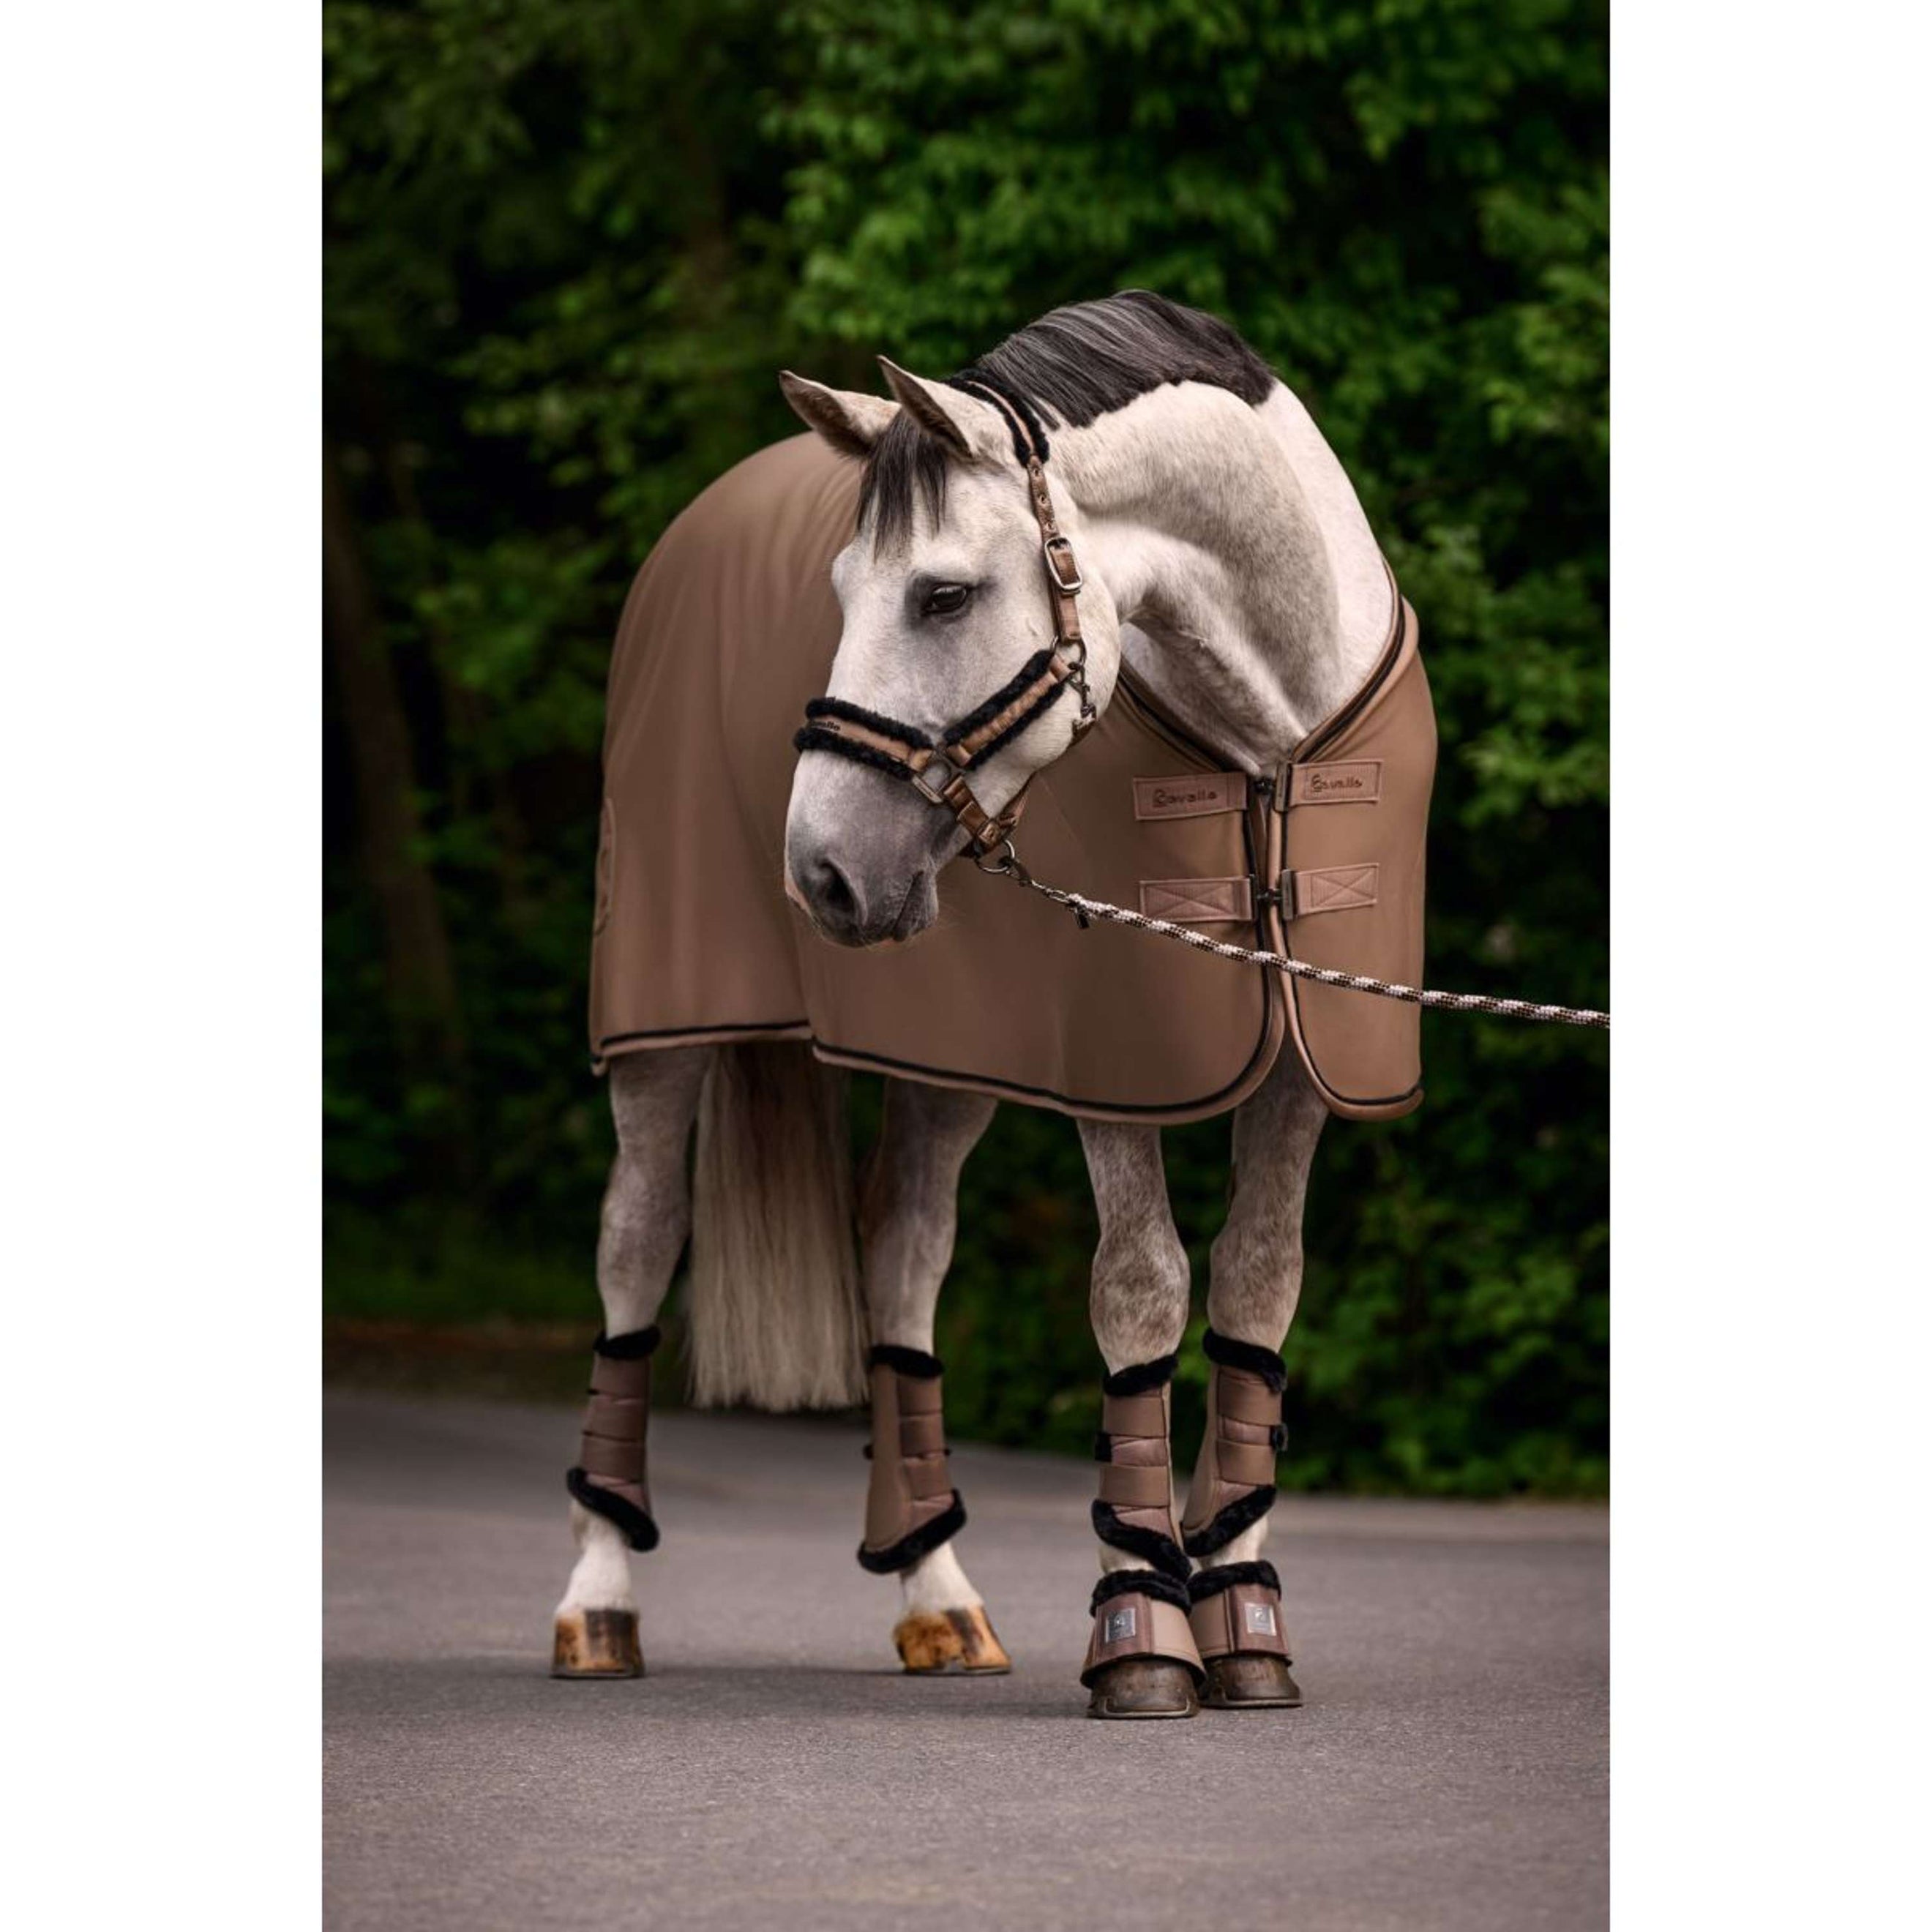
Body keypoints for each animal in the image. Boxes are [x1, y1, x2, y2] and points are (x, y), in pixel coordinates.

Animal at [551, 291, 1433, 1718]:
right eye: (839, 595)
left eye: (944, 592)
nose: (821, 872)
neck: (1267, 735)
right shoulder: (1116, 1073)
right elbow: (1142, 1290)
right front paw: (1142, 1626)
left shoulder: (1303, 1060)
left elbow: (1257, 1291)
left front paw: (1244, 1617)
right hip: (661, 1040)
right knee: (635, 1244)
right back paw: (598, 1599)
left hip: (947, 1068)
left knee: (902, 1254)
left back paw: (937, 1595)